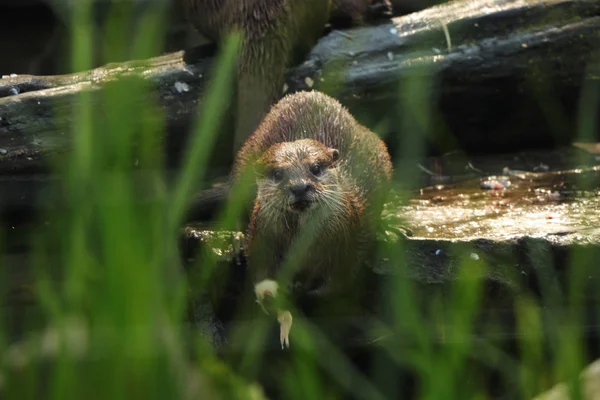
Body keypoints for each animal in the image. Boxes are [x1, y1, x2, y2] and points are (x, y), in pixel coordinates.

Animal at [230, 90, 394, 346]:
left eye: (315, 168)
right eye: (277, 173)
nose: (299, 187)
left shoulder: (344, 246)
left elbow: (336, 284)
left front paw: (300, 291)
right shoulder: (262, 237)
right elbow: (259, 272)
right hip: (243, 162)